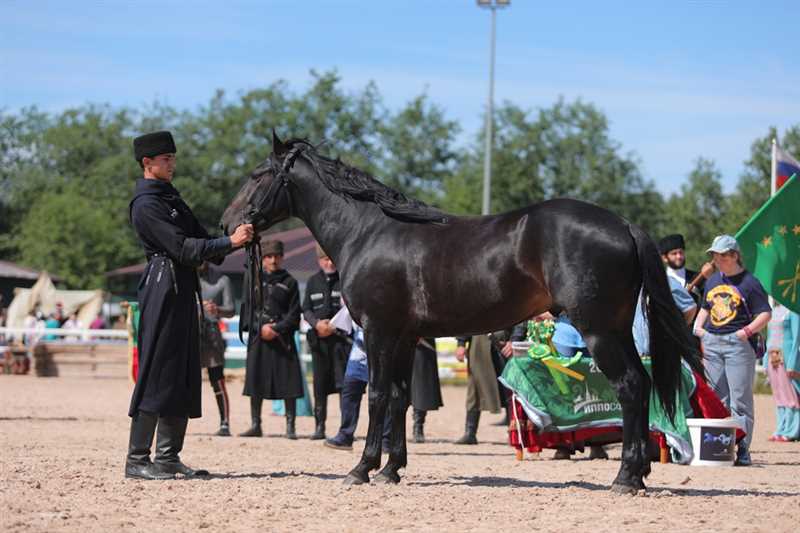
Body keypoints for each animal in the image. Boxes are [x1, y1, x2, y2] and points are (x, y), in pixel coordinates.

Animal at [219, 134, 700, 494]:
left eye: (258, 175)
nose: (226, 224)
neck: (368, 231)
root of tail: (624, 225)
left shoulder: (378, 332)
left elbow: (377, 396)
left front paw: (362, 468)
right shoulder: (404, 336)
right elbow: (400, 397)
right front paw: (391, 469)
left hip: (599, 331)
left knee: (629, 386)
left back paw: (625, 478)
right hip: (616, 330)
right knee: (641, 384)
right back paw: (638, 472)